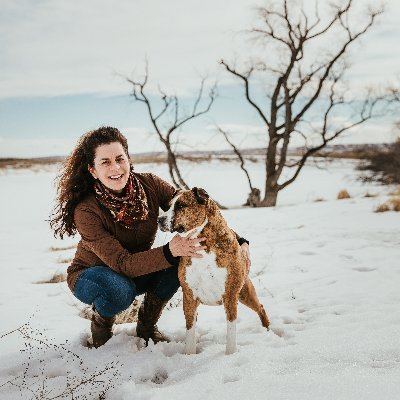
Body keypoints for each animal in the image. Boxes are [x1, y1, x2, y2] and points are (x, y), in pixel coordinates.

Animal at [156, 186, 268, 354]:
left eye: (181, 205)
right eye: (168, 206)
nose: (160, 219)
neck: (203, 244)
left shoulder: (230, 295)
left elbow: (231, 330)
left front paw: (230, 354)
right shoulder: (189, 296)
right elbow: (190, 330)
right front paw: (189, 355)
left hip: (245, 293)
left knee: (261, 308)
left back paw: (268, 331)